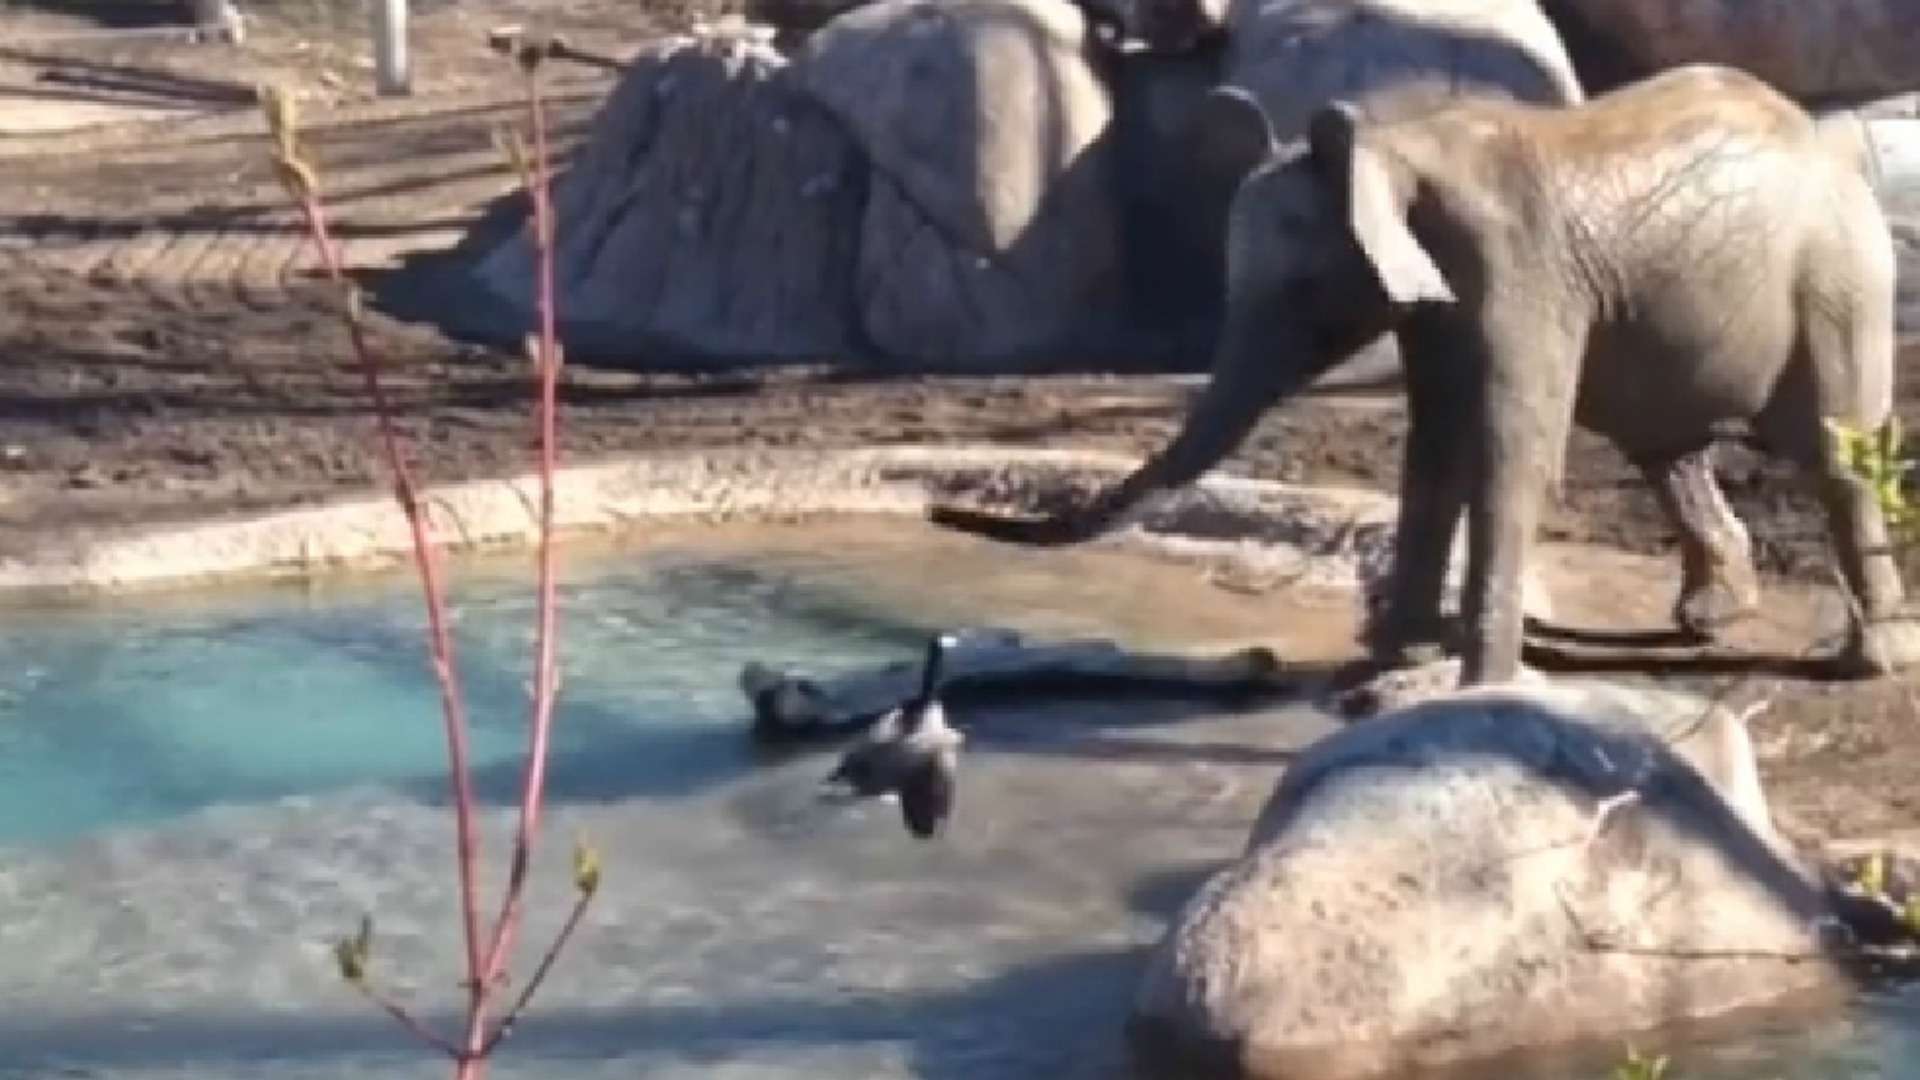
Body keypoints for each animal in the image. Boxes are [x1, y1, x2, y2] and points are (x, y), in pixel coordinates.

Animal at [933, 63, 1920, 687]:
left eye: (1301, 289)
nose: (947, 512)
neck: (1394, 143)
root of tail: (1824, 137)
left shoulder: (1520, 267)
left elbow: (1507, 452)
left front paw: (1473, 685)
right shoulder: (1438, 303)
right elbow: (1436, 447)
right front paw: (1391, 665)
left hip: (1838, 283)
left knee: (1834, 457)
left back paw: (1864, 663)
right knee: (1666, 448)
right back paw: (1710, 617)